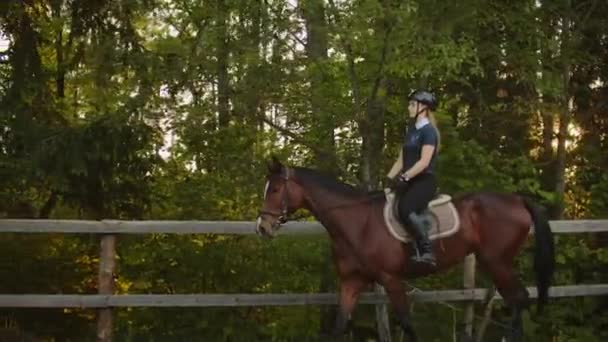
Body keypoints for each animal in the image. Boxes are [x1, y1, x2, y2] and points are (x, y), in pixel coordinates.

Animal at [256, 158, 556, 342]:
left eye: (276, 189)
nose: (262, 227)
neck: (357, 221)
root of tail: (517, 200)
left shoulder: (391, 279)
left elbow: (407, 324)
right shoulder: (352, 282)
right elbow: (340, 326)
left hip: (497, 261)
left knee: (520, 299)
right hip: (495, 262)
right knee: (517, 300)